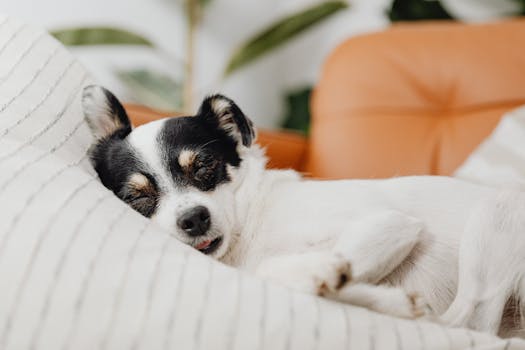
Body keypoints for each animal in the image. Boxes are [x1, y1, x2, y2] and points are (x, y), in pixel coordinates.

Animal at [83, 84, 525, 336]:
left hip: (497, 209)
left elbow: (280, 269)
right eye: (138, 196)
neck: (251, 226)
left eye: (204, 166)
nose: (194, 219)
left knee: (468, 324)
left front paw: (324, 272)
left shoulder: (391, 223)